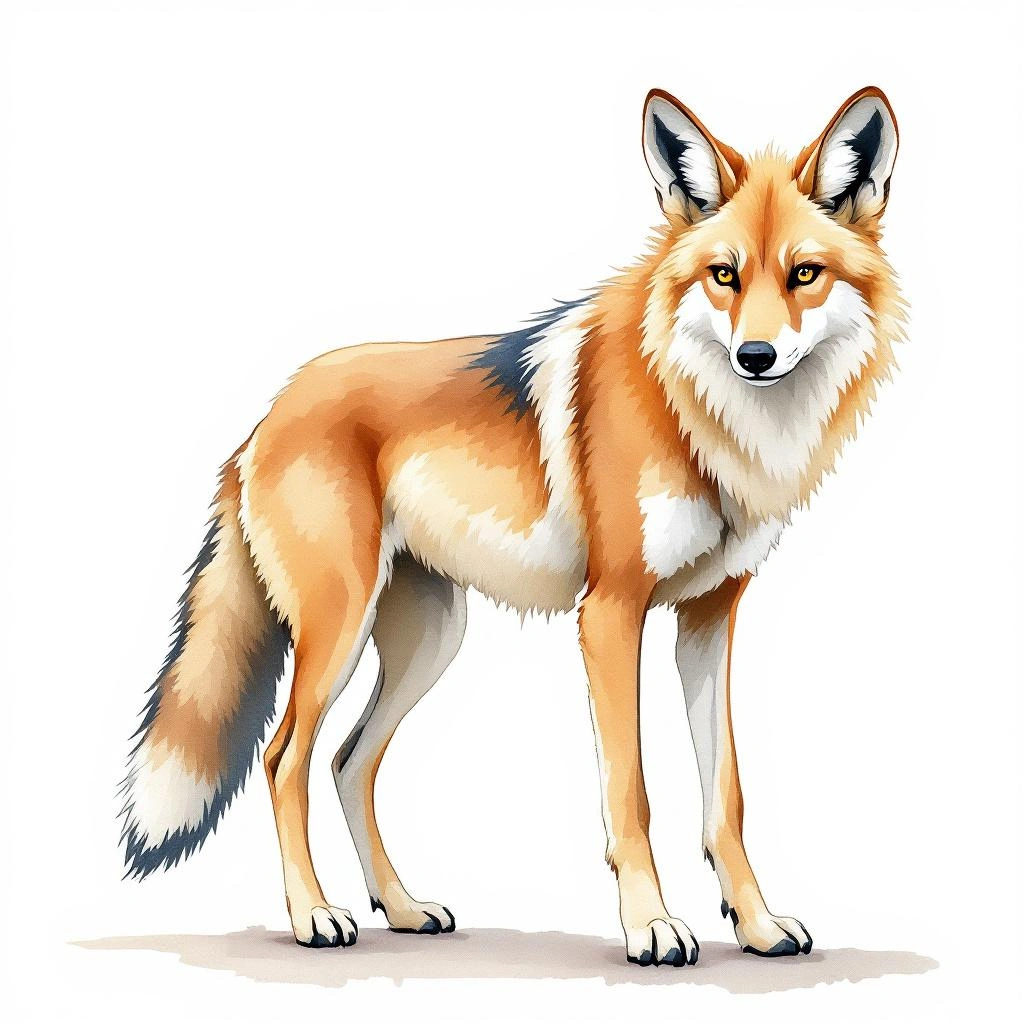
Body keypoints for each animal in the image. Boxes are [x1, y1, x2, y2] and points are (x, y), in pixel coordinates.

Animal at [120, 87, 904, 966]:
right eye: (724, 276)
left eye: (804, 274)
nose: (757, 356)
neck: (705, 420)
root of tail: (265, 416)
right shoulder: (610, 612)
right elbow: (632, 795)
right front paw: (651, 928)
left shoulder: (709, 617)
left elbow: (725, 798)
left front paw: (758, 925)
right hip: (340, 634)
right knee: (285, 759)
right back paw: (315, 917)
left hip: (430, 641)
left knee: (349, 762)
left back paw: (402, 908)